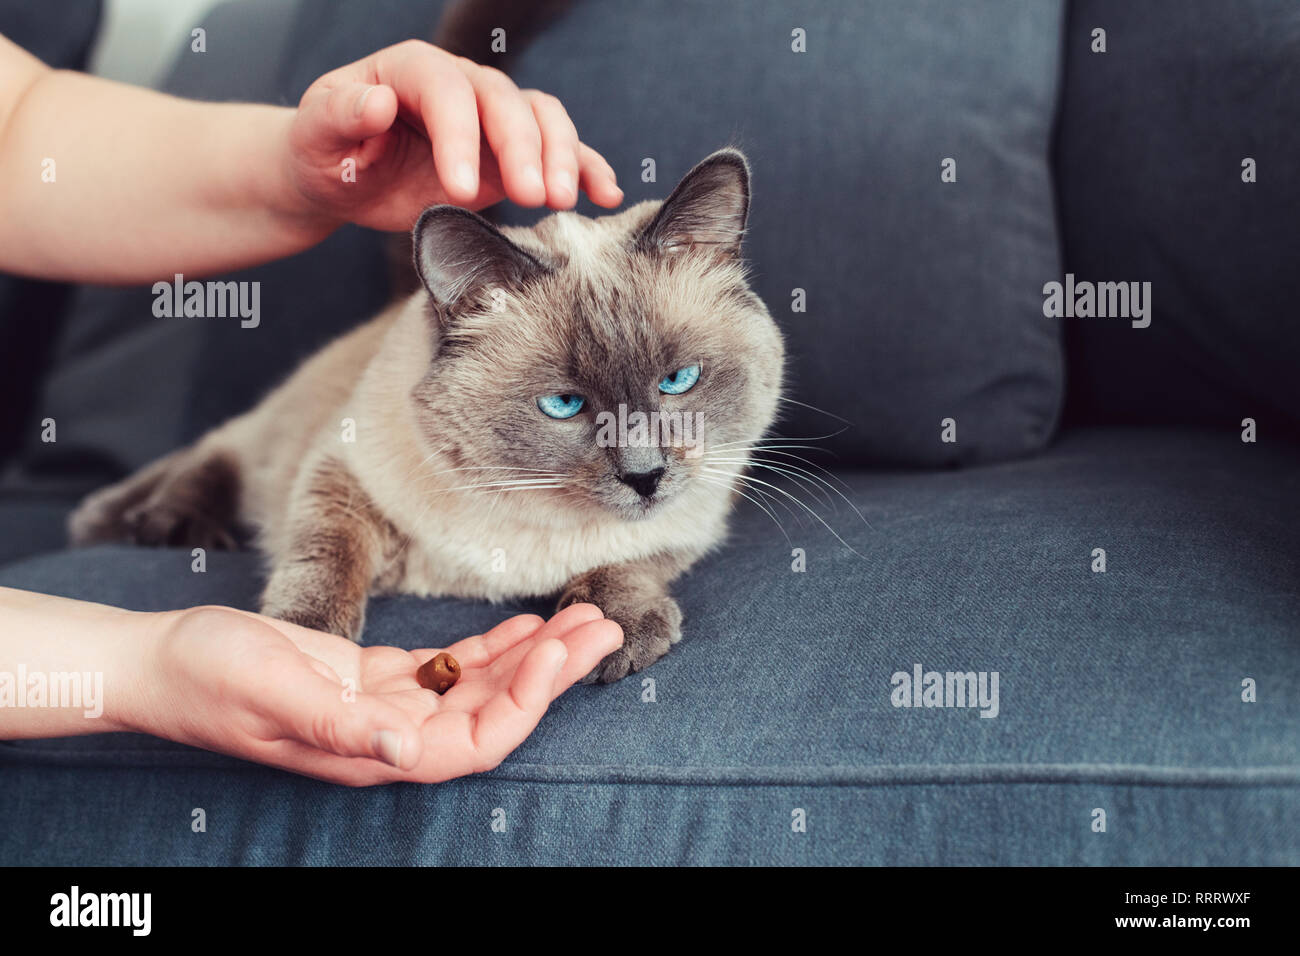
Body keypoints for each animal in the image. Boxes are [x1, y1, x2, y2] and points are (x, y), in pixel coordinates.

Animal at [68, 149, 780, 681]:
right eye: (564, 404)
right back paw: (142, 523)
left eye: (678, 381)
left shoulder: (694, 520)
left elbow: (632, 562)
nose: (645, 476)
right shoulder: (339, 475)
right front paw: (303, 645)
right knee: (210, 456)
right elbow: (323, 562)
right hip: (272, 434)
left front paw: (623, 631)